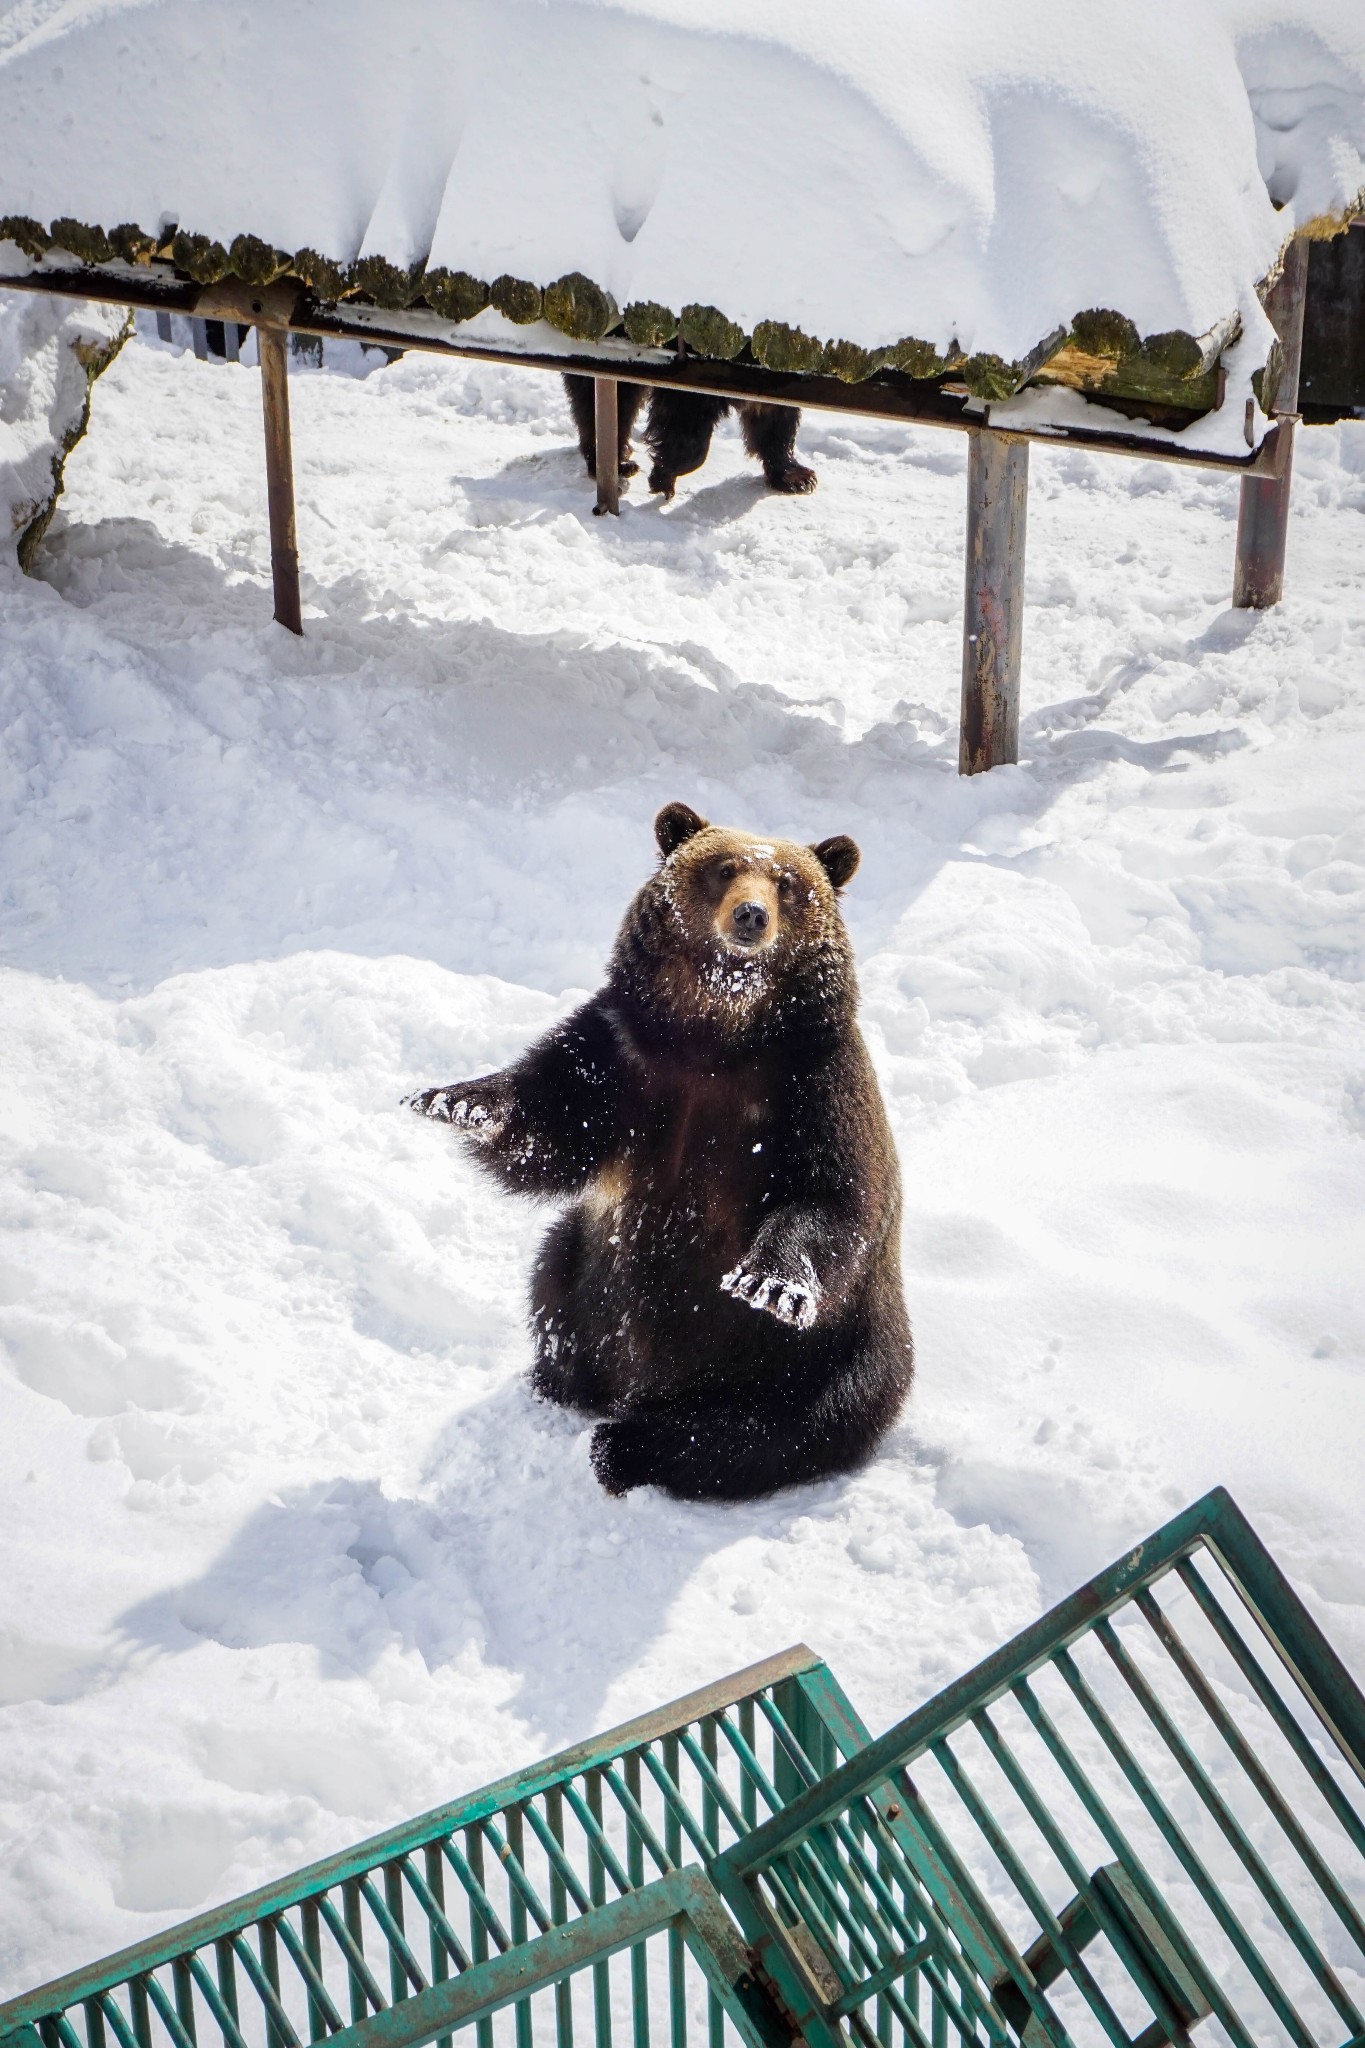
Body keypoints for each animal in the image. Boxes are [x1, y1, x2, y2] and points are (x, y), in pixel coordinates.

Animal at [411, 802, 912, 1507]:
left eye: (788, 883)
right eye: (723, 867)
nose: (750, 916)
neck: (718, 1031)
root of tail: (648, 1388)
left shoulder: (814, 1082)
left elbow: (833, 1193)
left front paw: (768, 1280)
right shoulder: (624, 1053)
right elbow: (550, 1121)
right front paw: (456, 1101)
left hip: (829, 1360)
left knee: (775, 1431)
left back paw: (626, 1448)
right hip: (588, 1269)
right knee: (554, 1278)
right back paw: (563, 1381)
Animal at [564, 378, 818, 501]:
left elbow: (774, 420)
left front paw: (796, 478)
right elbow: (684, 424)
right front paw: (664, 477)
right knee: (606, 401)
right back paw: (615, 463)